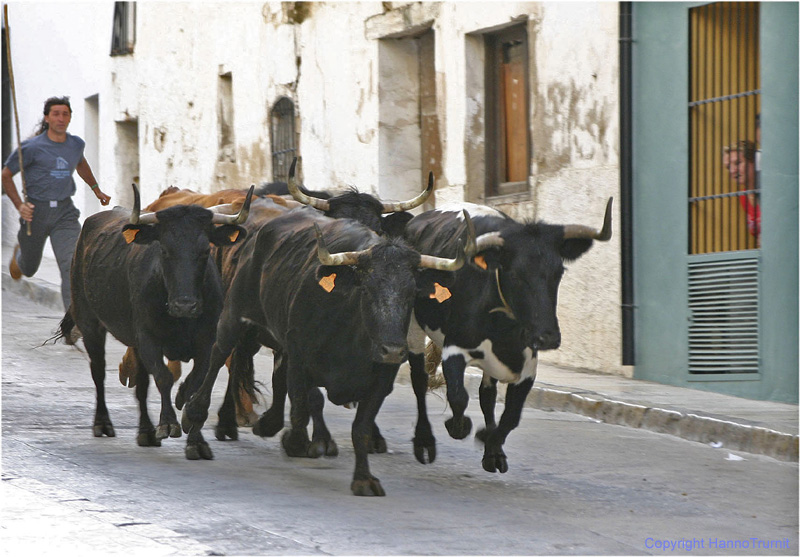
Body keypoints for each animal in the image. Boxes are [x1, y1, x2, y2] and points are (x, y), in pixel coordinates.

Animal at [57, 184, 253, 460]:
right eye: (164, 250)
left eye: (205, 251)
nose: (185, 305)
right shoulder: (148, 339)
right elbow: (163, 377)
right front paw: (168, 423)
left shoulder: (206, 343)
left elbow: (194, 382)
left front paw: (194, 436)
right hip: (90, 323)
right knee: (99, 371)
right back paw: (103, 423)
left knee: (141, 385)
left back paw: (146, 432)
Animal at [181, 208, 467, 495]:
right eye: (367, 289)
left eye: (412, 293)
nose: (394, 350)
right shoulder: (300, 359)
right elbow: (301, 409)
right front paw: (297, 442)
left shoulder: (380, 380)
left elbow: (360, 428)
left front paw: (363, 478)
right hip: (235, 314)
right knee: (219, 357)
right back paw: (194, 423)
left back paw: (266, 423)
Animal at [403, 198, 613, 473]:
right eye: (514, 274)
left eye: (559, 272)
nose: (548, 337)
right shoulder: (454, 348)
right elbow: (458, 396)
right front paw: (460, 427)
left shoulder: (528, 365)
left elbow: (511, 416)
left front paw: (492, 446)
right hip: (413, 327)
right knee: (419, 380)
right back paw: (424, 441)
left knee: (487, 395)